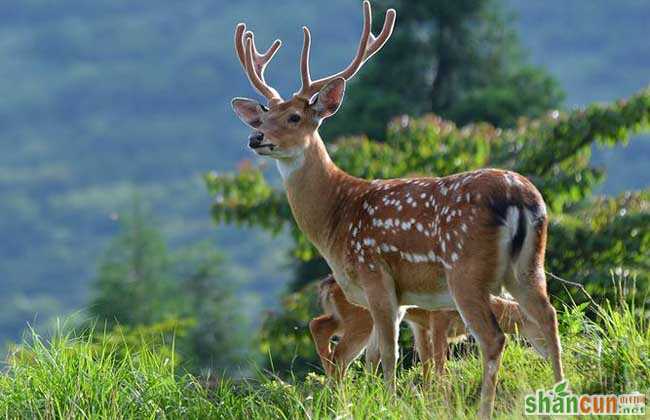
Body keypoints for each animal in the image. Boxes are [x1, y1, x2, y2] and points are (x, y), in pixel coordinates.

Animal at [232, 2, 560, 416]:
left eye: (294, 117)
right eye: (262, 116)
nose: (256, 137)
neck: (337, 219)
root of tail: (521, 198)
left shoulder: (376, 274)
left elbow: (388, 354)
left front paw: (388, 405)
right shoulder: (402, 297)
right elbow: (379, 357)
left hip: (466, 270)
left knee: (494, 338)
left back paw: (486, 409)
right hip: (529, 265)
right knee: (548, 318)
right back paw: (562, 391)